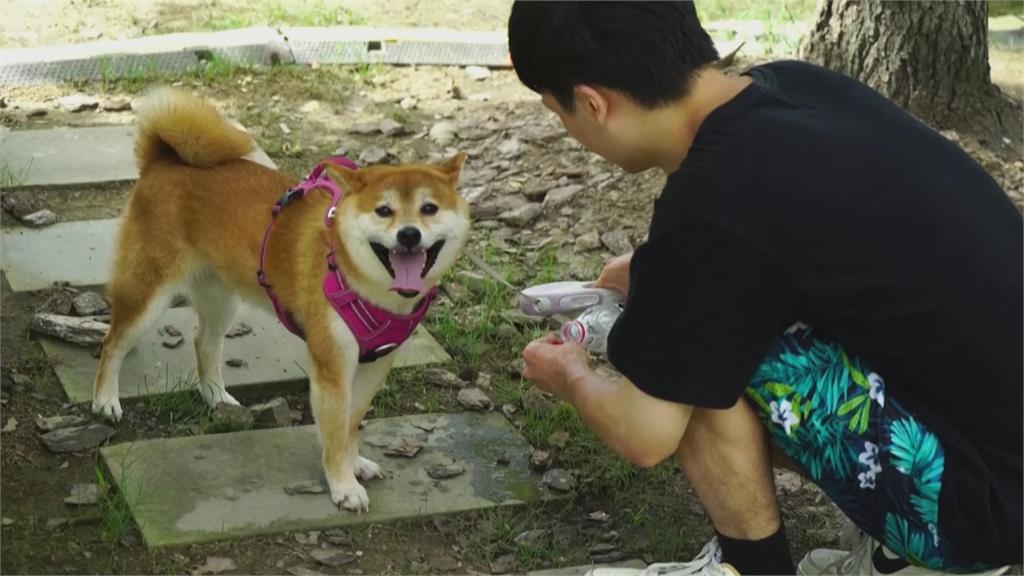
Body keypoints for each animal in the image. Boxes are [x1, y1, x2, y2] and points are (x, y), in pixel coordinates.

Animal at [92, 89, 468, 510]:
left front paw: (354, 463)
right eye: (383, 211)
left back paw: (217, 397)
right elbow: (335, 430)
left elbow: (351, 423)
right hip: (149, 294)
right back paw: (105, 401)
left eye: (429, 208)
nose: (408, 234)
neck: (359, 279)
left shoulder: (374, 365)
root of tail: (162, 161)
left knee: (204, 342)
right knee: (113, 343)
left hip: (221, 297)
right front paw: (343, 484)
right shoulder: (332, 367)